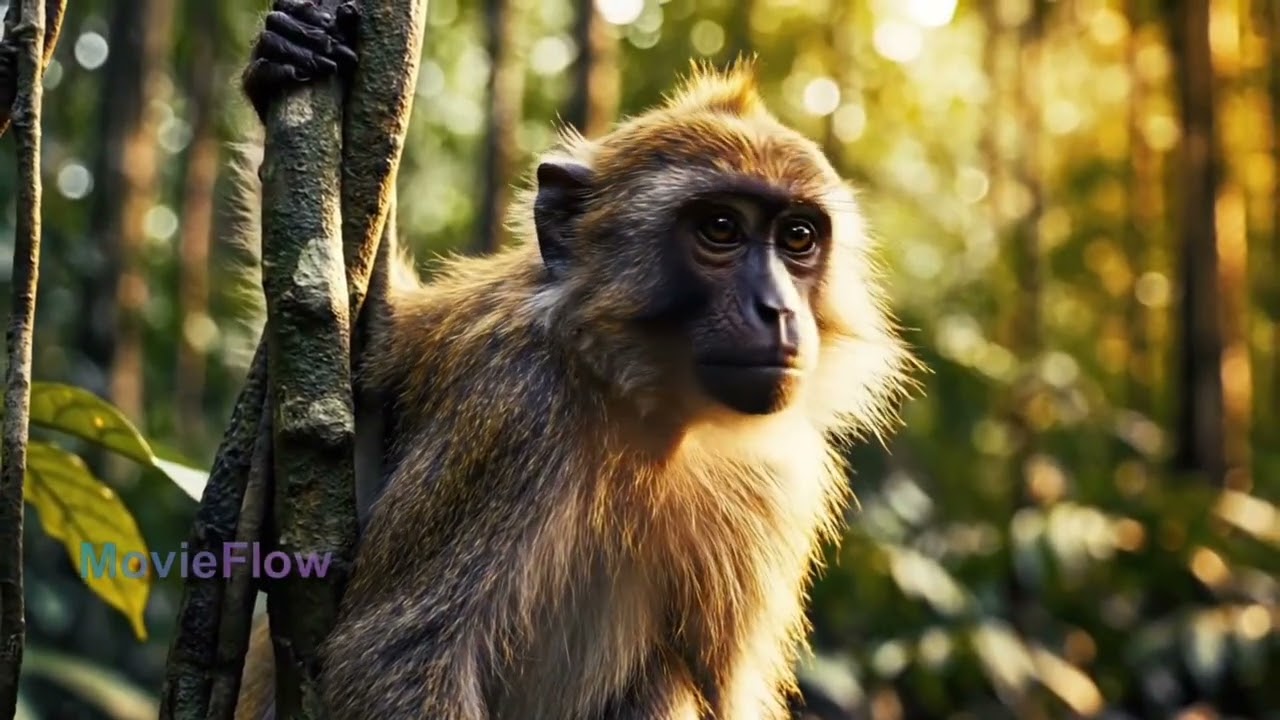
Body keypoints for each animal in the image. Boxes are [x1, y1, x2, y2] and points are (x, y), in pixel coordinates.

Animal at [231, 2, 916, 718]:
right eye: (721, 229)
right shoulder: (516, 408)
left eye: (798, 238)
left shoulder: (772, 481)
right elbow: (394, 660)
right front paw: (289, 54)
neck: (641, 413)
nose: (777, 308)